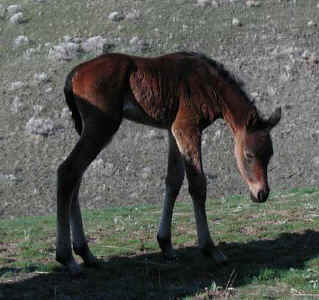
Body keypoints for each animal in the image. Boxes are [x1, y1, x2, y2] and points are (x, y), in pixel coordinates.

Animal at [56, 51, 282, 274]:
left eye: (270, 154)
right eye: (248, 155)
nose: (262, 194)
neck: (209, 84)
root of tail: (73, 75)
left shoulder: (173, 129)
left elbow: (173, 180)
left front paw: (165, 244)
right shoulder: (187, 127)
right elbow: (197, 185)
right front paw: (210, 249)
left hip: (87, 128)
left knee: (76, 178)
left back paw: (86, 253)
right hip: (101, 125)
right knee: (68, 170)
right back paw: (67, 258)